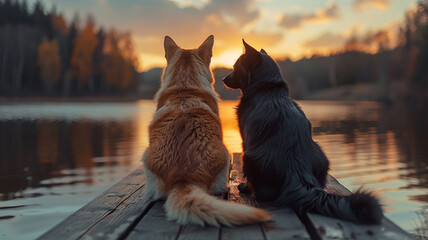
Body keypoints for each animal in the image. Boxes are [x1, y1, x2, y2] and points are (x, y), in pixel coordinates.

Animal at [222, 40, 382, 224]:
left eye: (236, 66)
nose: (223, 79)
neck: (269, 90)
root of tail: (296, 171)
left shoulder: (245, 138)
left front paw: (244, 186)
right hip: (321, 154)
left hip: (247, 157)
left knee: (264, 193)